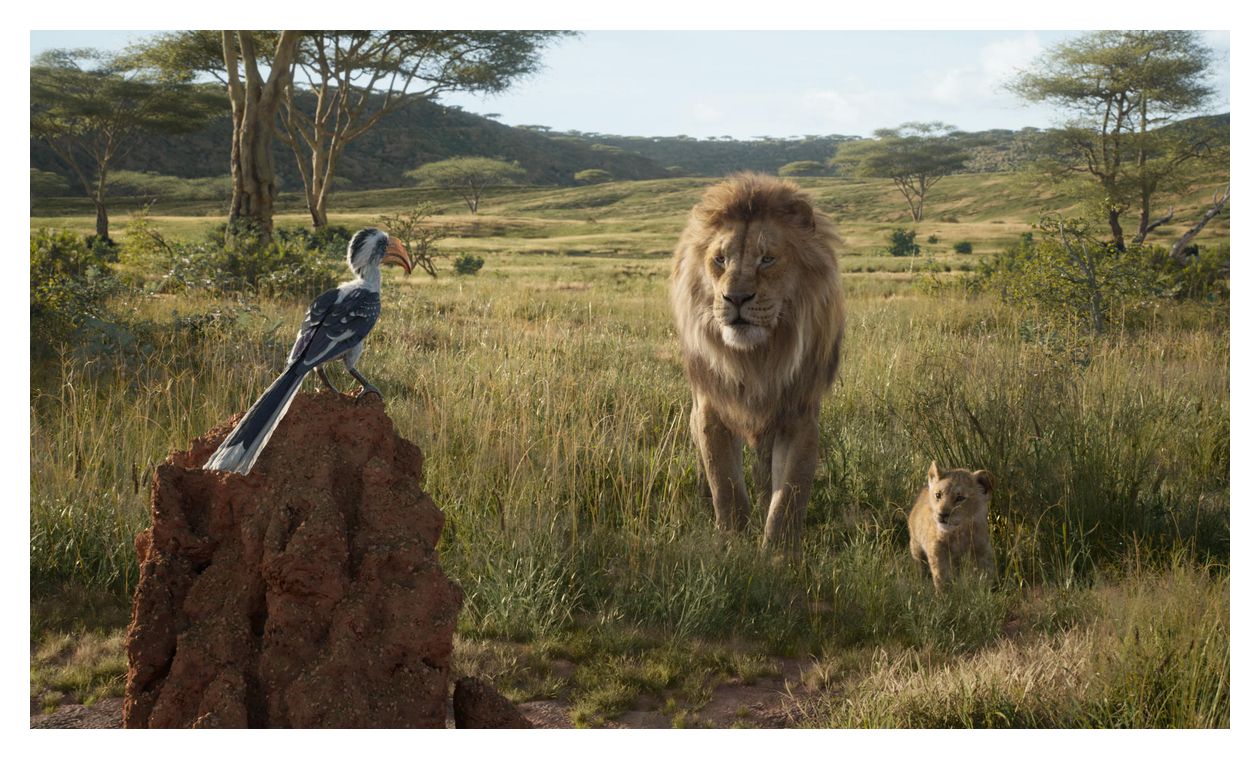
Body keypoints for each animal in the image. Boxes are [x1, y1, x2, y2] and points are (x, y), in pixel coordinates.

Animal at [669, 173, 845, 550]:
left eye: (767, 259)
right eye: (720, 260)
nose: (735, 298)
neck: (757, 359)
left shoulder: (800, 416)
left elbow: (789, 496)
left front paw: (779, 554)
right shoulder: (710, 409)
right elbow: (726, 485)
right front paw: (733, 544)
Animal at [907, 462, 996, 591]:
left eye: (960, 498)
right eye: (938, 495)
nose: (942, 514)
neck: (959, 532)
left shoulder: (982, 549)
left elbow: (986, 573)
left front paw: (987, 590)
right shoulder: (937, 549)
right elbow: (941, 575)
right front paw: (944, 594)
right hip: (916, 545)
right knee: (920, 565)